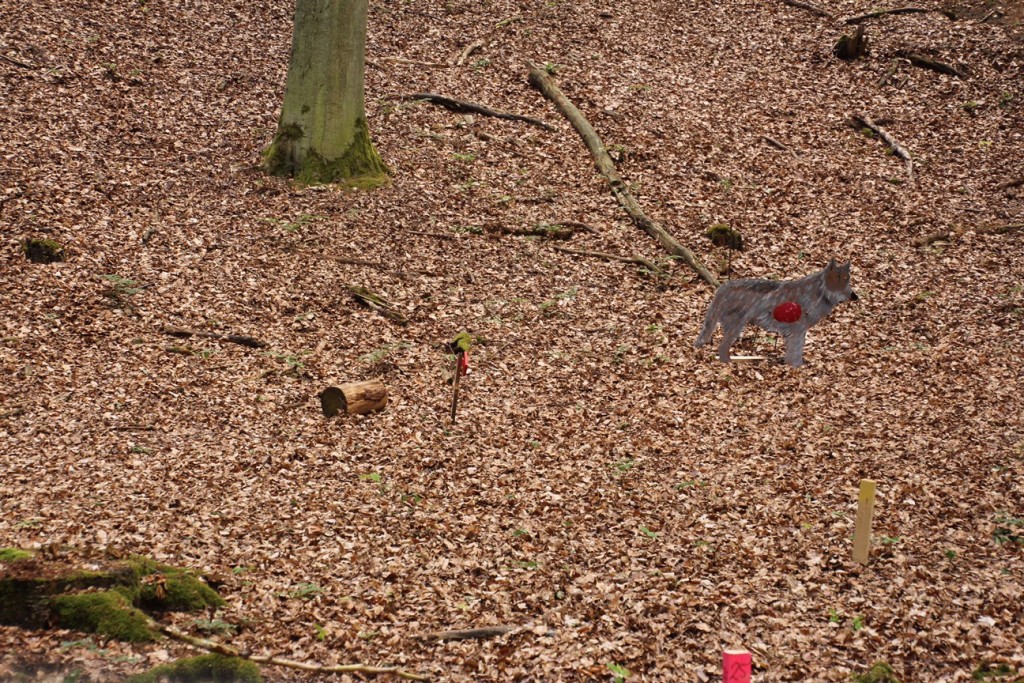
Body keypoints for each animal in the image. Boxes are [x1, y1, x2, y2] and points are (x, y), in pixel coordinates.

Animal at [694, 259, 858, 367]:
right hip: (736, 327)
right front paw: (796, 368)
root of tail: (722, 288)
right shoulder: (797, 331)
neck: (819, 292)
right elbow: (795, 352)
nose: (855, 296)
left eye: (848, 279)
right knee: (721, 347)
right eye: (840, 279)